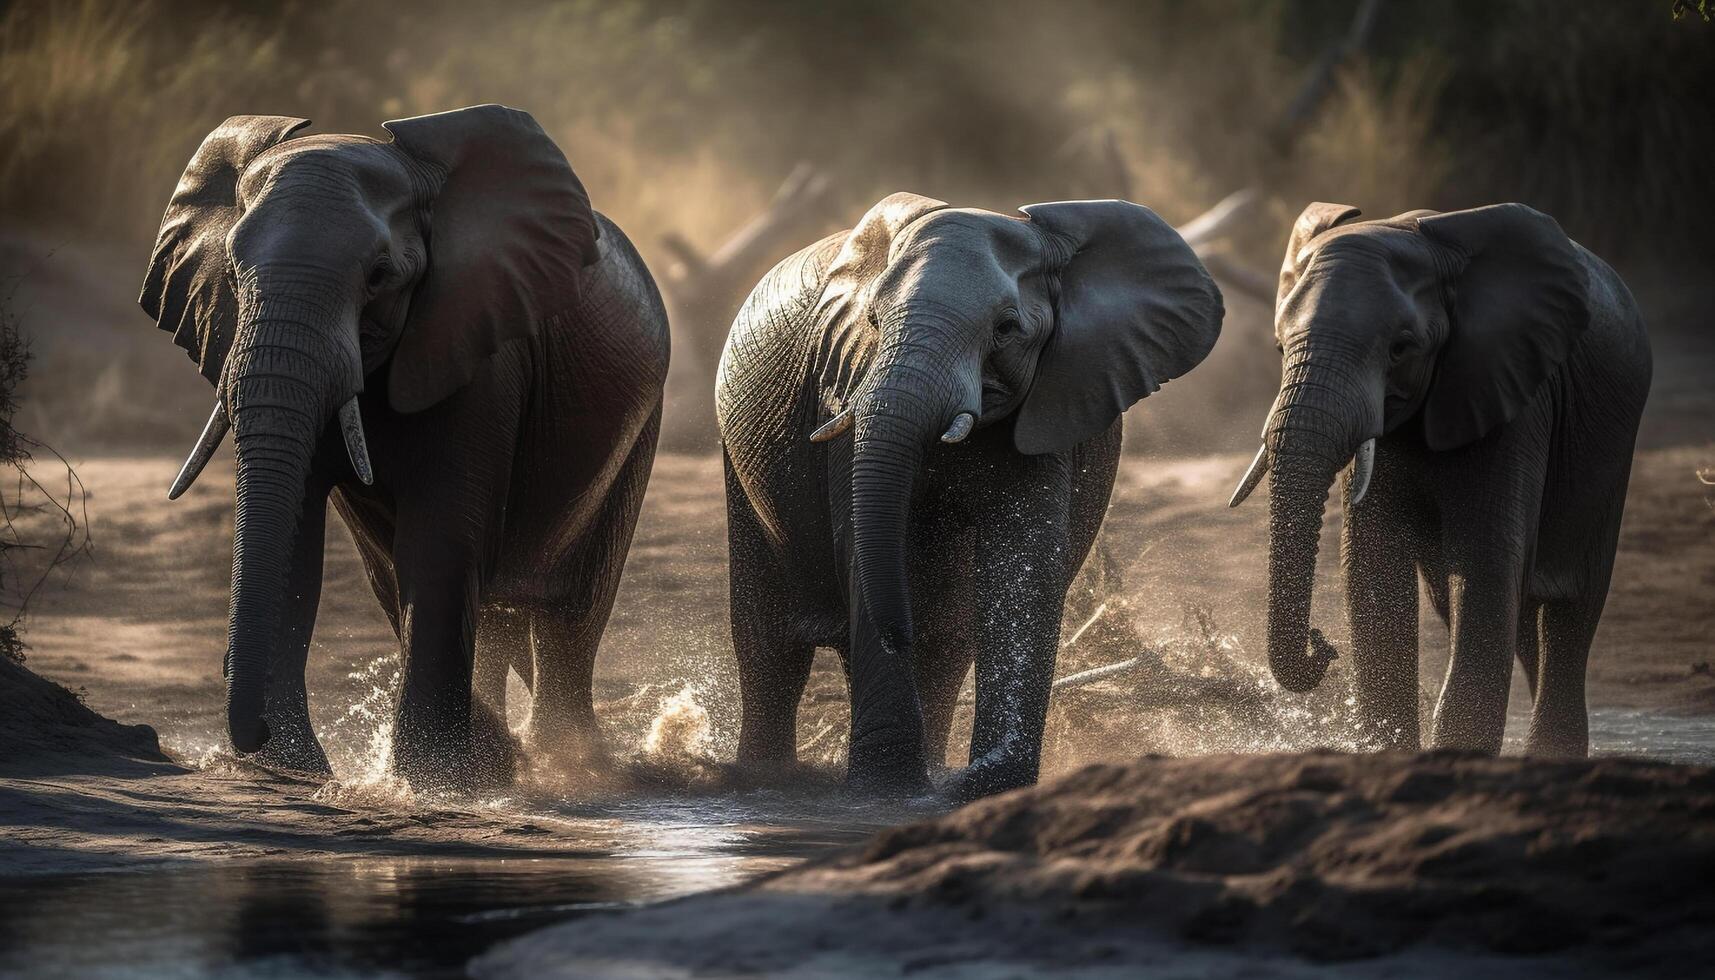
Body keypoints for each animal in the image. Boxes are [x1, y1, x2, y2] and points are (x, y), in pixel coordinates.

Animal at [137, 103, 668, 786]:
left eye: (379, 277)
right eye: (231, 272)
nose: (249, 736)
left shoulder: (481, 351)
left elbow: (440, 541)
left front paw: (433, 781)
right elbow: (298, 542)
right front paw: (298, 773)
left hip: (639, 427)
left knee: (571, 611)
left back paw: (561, 762)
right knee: (473, 610)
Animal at [716, 191, 1227, 796]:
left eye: (1006, 329)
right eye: (872, 320)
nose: (896, 635)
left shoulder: (1052, 403)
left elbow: (1022, 558)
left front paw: (973, 783)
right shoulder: (840, 387)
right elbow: (865, 545)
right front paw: (884, 790)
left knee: (944, 650)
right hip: (738, 460)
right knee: (771, 645)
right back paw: (766, 779)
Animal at [1227, 199, 1653, 758]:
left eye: (1400, 348)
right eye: (1280, 349)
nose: (1323, 646)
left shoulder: (1513, 396)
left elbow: (1484, 566)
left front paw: (1455, 751)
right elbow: (1373, 566)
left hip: (1610, 448)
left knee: (1568, 615)